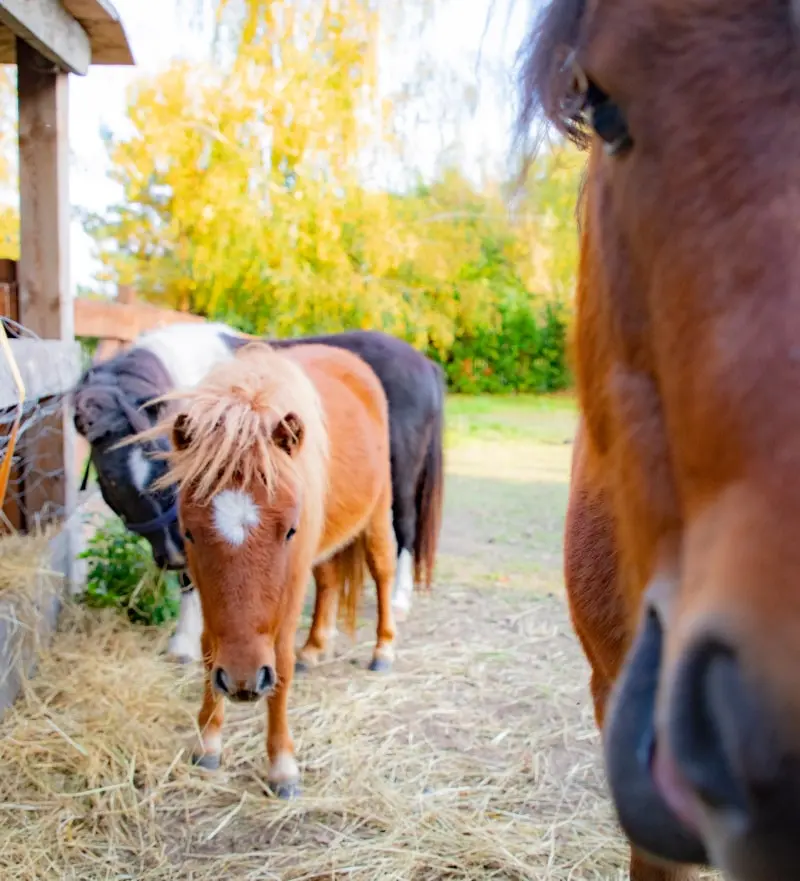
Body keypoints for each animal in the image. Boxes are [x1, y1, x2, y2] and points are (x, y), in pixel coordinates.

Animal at [72, 324, 446, 660]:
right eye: (112, 478)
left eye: (169, 464)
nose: (173, 556)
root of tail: (425, 364)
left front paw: (187, 643)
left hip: (398, 481)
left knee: (404, 533)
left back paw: (398, 603)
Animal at [143, 344, 396, 796]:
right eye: (189, 532)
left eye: (289, 530)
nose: (243, 681)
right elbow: (209, 650)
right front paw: (208, 740)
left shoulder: (290, 586)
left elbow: (281, 663)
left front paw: (282, 765)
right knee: (329, 582)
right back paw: (315, 647)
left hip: (378, 511)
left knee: (383, 570)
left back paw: (383, 650)